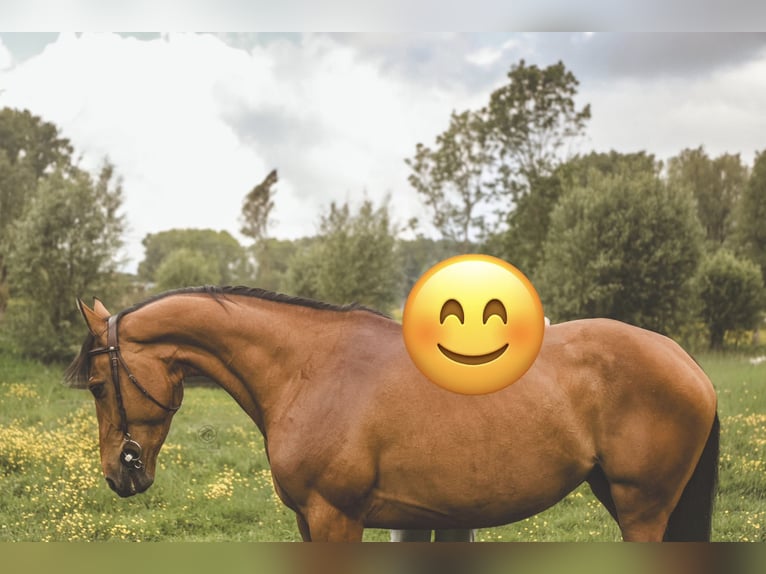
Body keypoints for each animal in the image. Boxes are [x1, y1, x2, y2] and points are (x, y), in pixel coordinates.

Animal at [65, 286, 719, 542]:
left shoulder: (335, 518)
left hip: (642, 508)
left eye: (97, 386)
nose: (119, 474)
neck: (308, 369)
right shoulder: (311, 522)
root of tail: (685, 361)